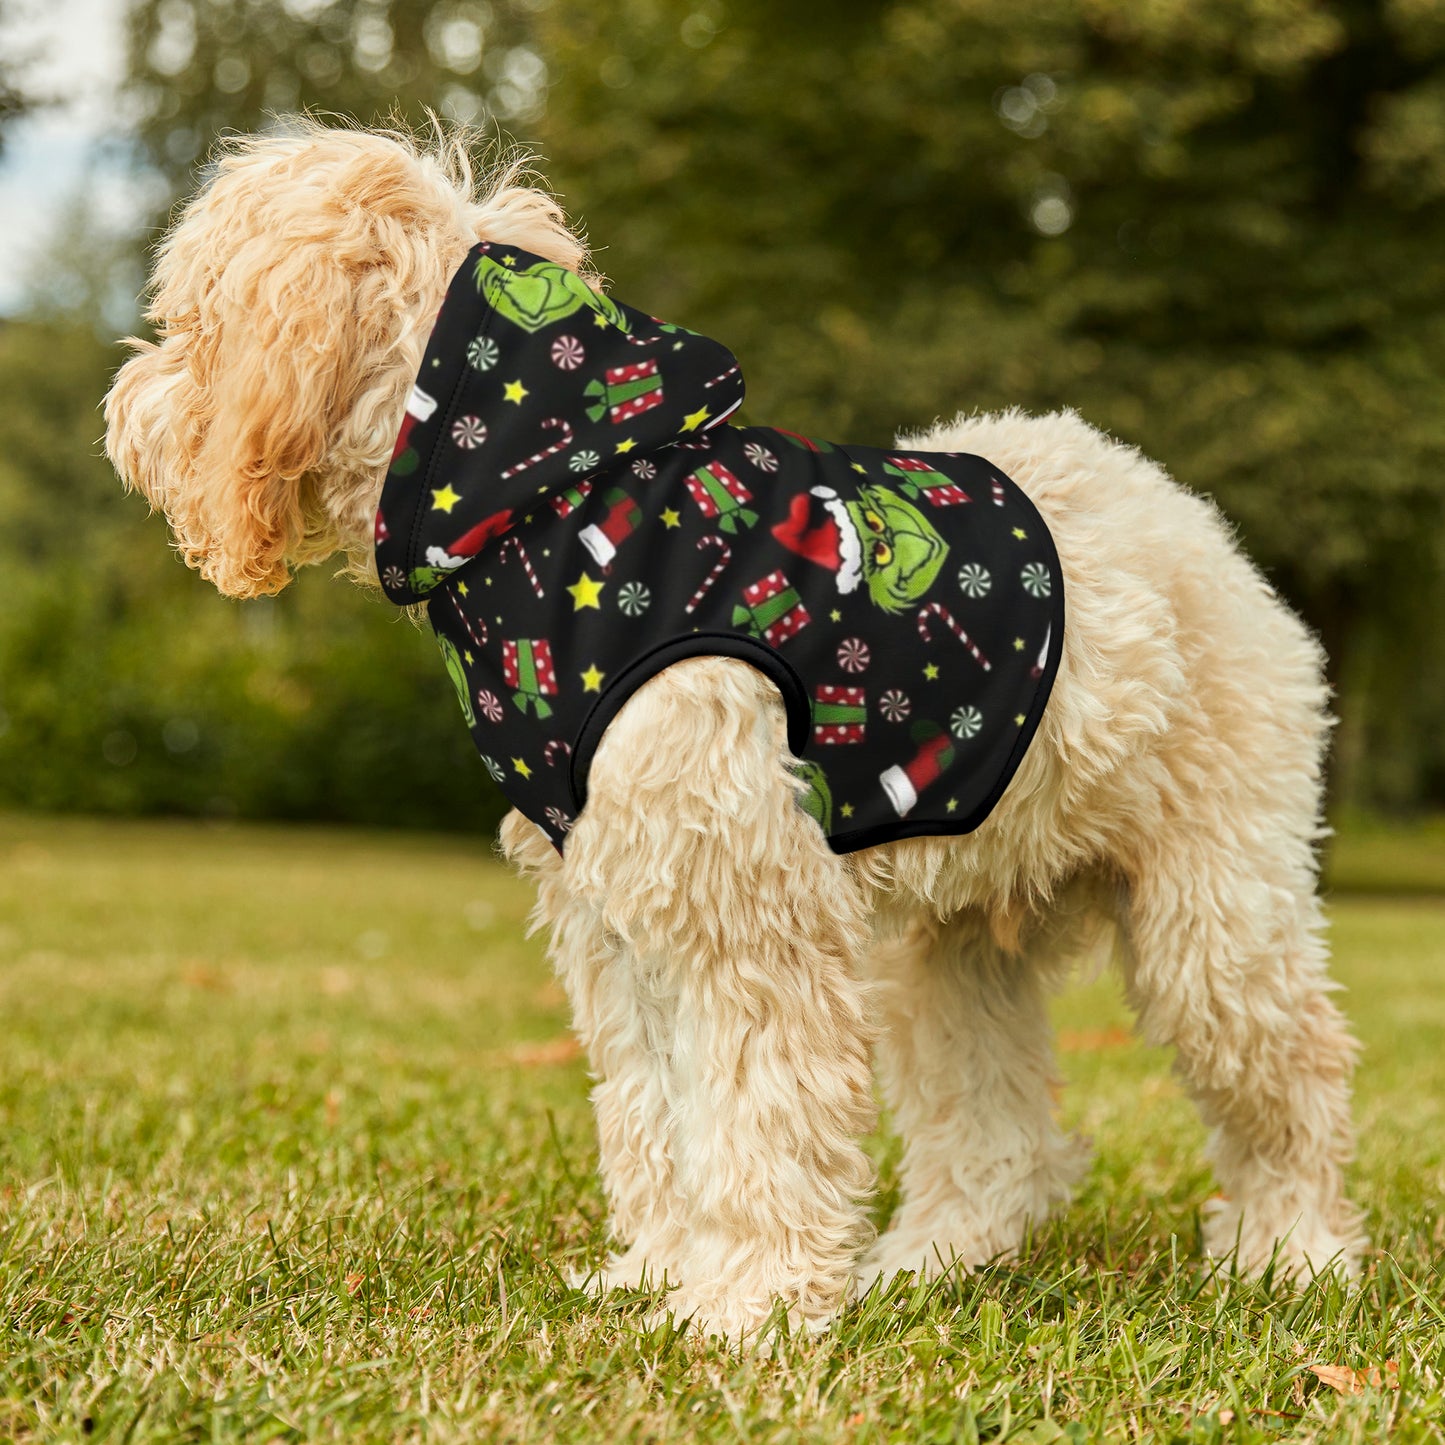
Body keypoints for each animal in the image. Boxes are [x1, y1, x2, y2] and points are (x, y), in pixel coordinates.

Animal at [104, 124, 1364, 1340]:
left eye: (191, 319)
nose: (123, 409)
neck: (550, 498)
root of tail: (1189, 518)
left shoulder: (744, 906)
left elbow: (758, 1113)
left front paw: (746, 1304)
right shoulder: (618, 914)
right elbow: (656, 1112)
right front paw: (662, 1274)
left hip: (1213, 915)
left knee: (1293, 1075)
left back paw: (1290, 1252)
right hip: (948, 948)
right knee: (995, 1133)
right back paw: (929, 1260)